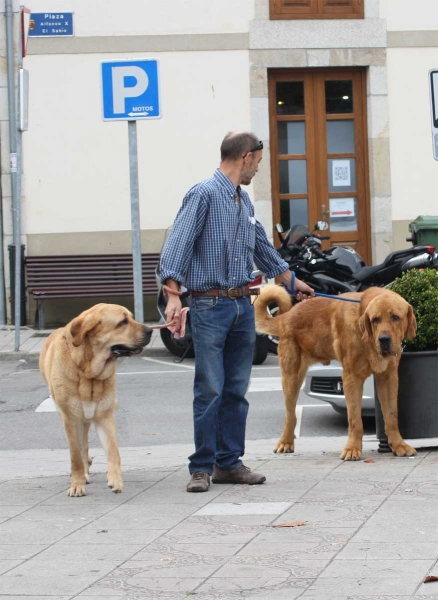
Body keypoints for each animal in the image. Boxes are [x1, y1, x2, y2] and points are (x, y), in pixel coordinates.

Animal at [39, 304, 152, 496]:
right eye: (122, 322)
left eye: (131, 318)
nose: (151, 330)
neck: (87, 372)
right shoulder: (70, 419)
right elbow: (75, 456)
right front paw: (77, 484)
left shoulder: (105, 417)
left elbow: (113, 451)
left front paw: (115, 479)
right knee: (80, 447)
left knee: (85, 443)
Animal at [255, 286, 416, 460]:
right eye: (375, 320)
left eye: (395, 317)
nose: (384, 339)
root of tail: (287, 315)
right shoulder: (351, 378)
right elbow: (354, 418)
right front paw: (352, 448)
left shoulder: (389, 377)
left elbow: (392, 415)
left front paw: (399, 445)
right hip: (291, 377)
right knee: (290, 415)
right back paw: (285, 442)